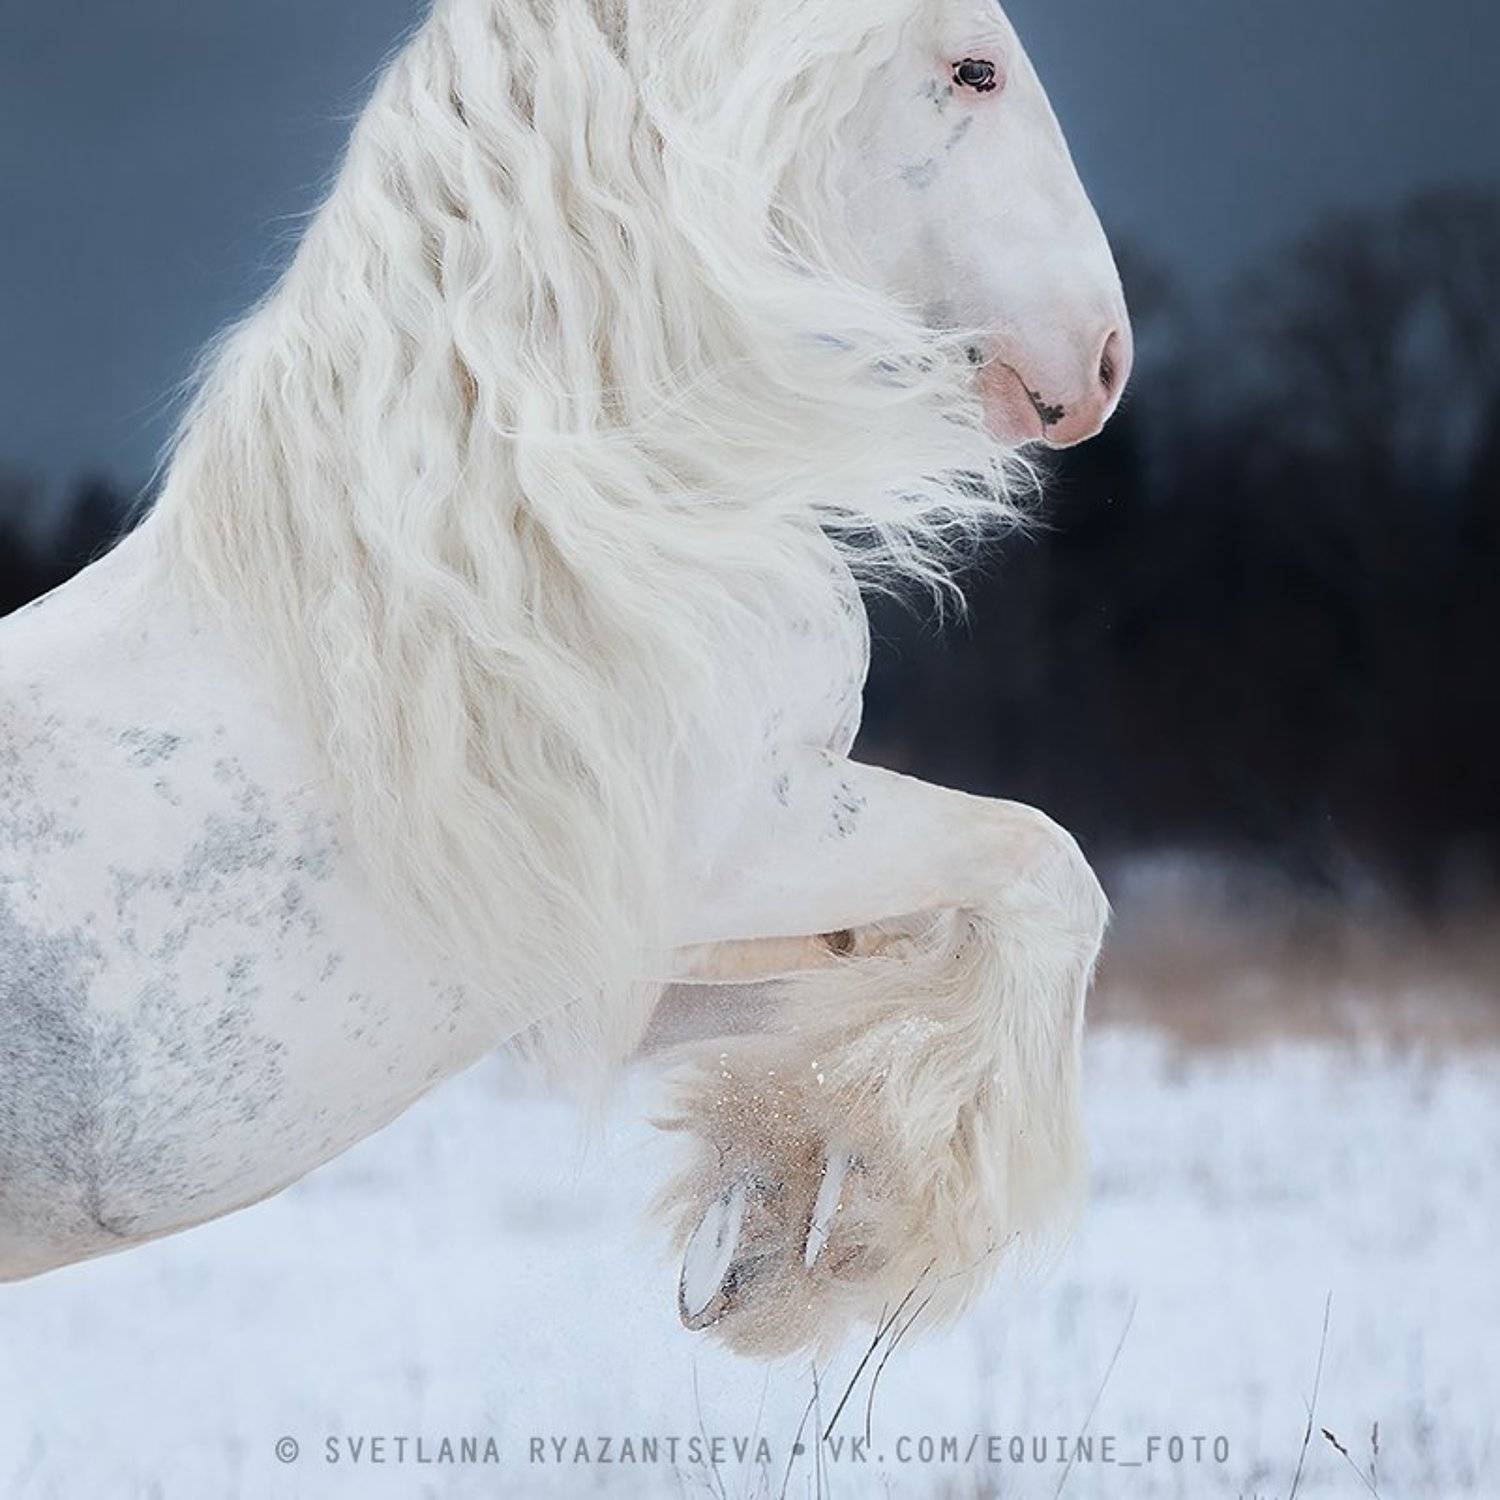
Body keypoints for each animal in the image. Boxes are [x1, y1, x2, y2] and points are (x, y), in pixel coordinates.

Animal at [0, 0, 1128, 1357]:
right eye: (974, 69)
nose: (1104, 360)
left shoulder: (625, 959)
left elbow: (884, 962)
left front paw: (768, 1224)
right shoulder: (738, 843)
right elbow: (1046, 870)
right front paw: (854, 1228)